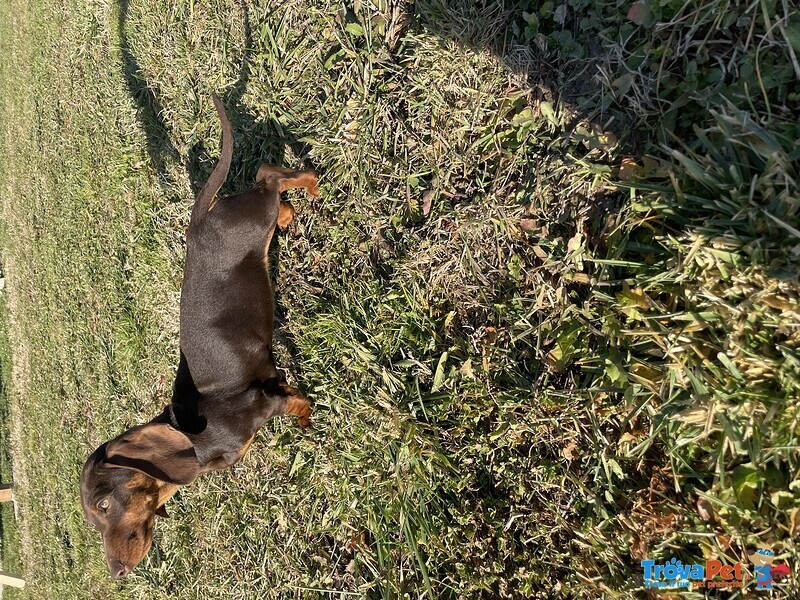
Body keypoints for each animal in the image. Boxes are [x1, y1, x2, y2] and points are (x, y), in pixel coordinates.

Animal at [81, 96, 318, 580]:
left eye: (103, 503)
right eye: (91, 520)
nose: (116, 573)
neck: (195, 441)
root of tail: (198, 220)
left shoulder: (265, 401)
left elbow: (297, 403)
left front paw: (307, 420)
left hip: (254, 213)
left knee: (268, 174)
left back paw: (312, 184)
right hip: (258, 219)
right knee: (267, 184)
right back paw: (290, 213)